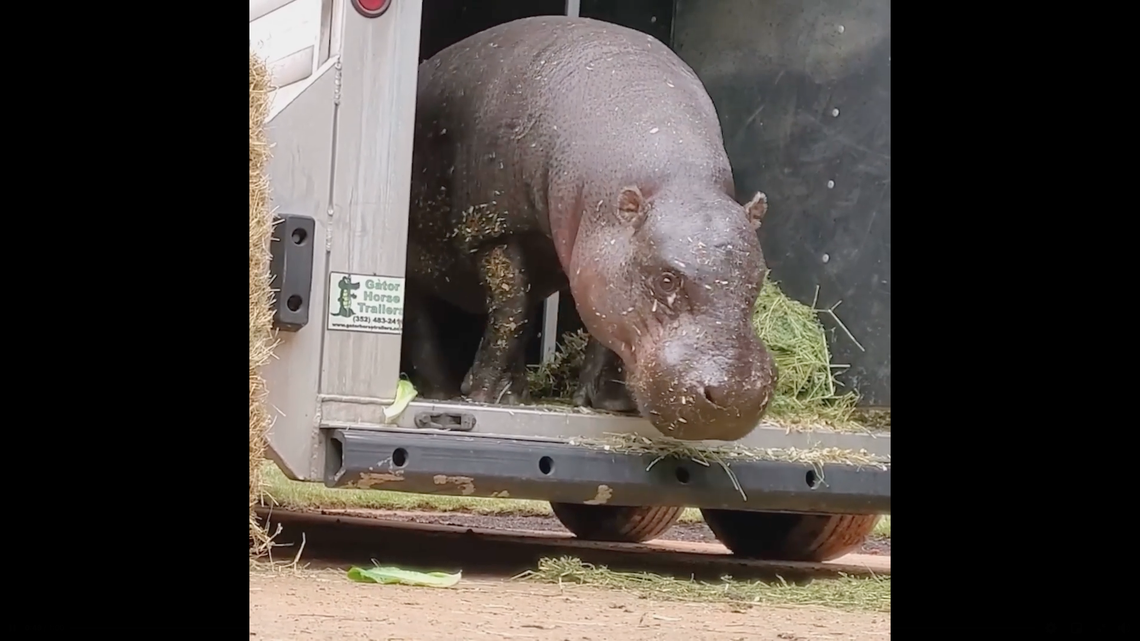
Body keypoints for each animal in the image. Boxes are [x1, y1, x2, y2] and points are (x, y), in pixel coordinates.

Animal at [402, 16, 776, 441]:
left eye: (759, 277)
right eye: (666, 279)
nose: (737, 398)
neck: (678, 180)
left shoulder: (597, 267)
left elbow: (598, 323)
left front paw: (605, 401)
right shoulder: (495, 230)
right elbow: (511, 308)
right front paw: (484, 394)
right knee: (424, 324)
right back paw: (444, 392)